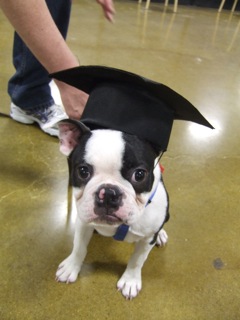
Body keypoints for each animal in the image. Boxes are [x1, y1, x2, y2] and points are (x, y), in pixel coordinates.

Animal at [55, 119, 170, 300]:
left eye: (139, 175)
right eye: (83, 171)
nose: (109, 193)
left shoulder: (147, 239)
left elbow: (137, 261)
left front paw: (130, 281)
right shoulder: (83, 223)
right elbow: (79, 247)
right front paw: (71, 267)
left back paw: (161, 235)